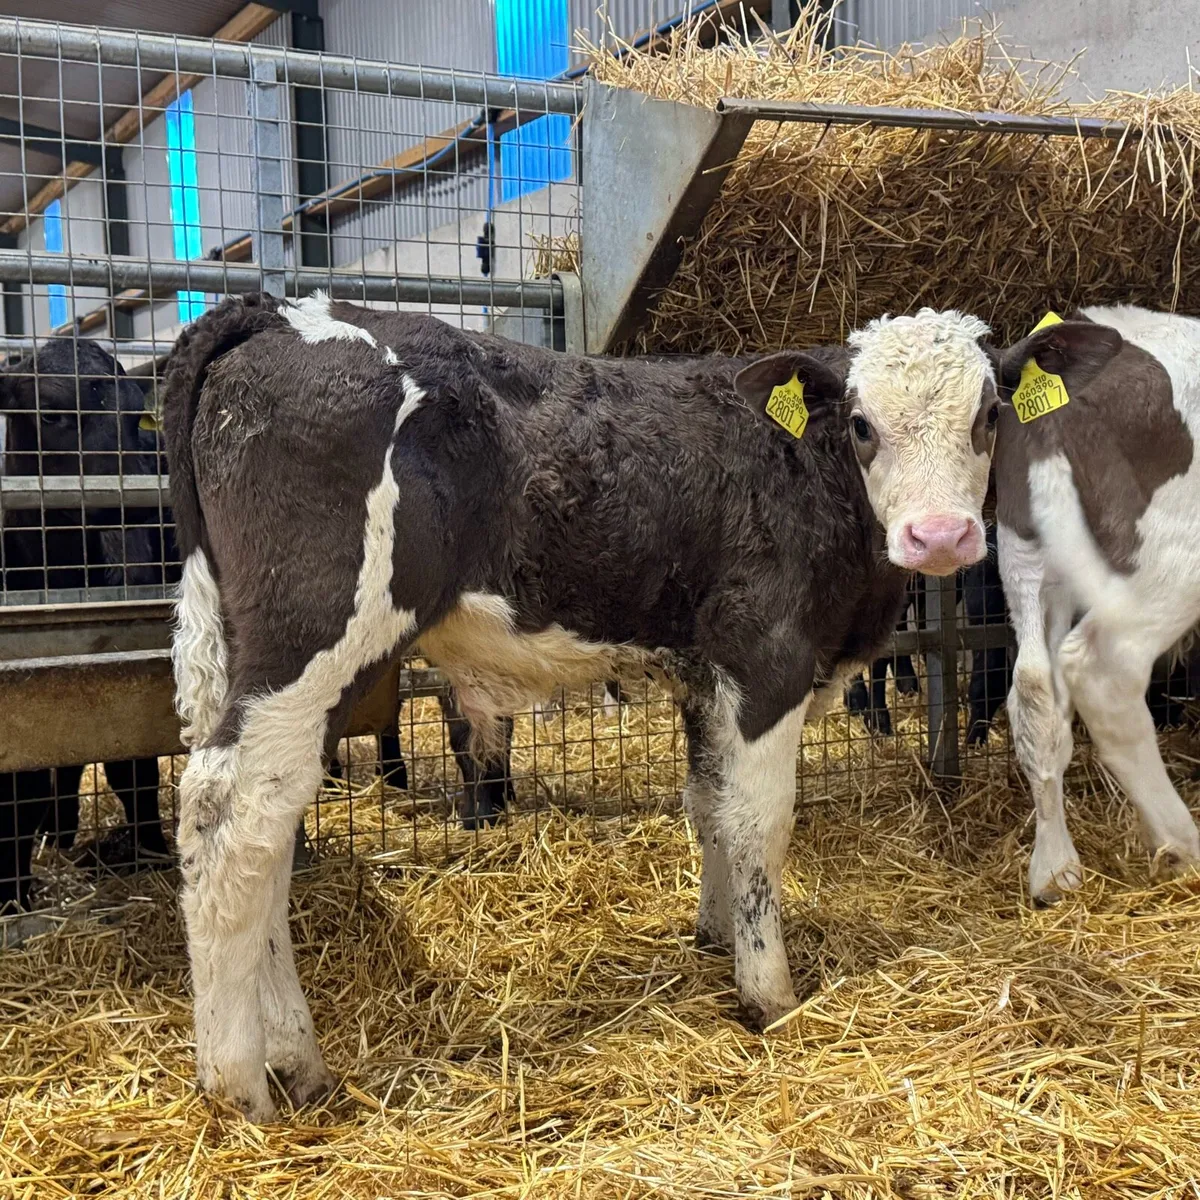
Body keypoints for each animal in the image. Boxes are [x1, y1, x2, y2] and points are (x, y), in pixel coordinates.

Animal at [0, 340, 174, 911]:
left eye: (134, 415)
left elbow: (130, 767)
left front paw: (152, 849)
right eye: (51, 412)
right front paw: (13, 896)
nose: (133, 487)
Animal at [162, 292, 1000, 1120]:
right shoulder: (767, 659)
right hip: (311, 638)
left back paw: (294, 1060)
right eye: (862, 424)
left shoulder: (703, 674)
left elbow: (709, 806)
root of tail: (276, 310)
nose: (939, 536)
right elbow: (759, 825)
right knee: (231, 816)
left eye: (989, 414)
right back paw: (239, 1084)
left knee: (271, 824)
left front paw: (714, 934)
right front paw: (769, 992)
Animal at [991, 306, 1200, 903]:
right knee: (1103, 670)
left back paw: (1053, 868)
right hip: (1172, 560)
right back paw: (1182, 846)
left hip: (1024, 547)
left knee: (1034, 691)